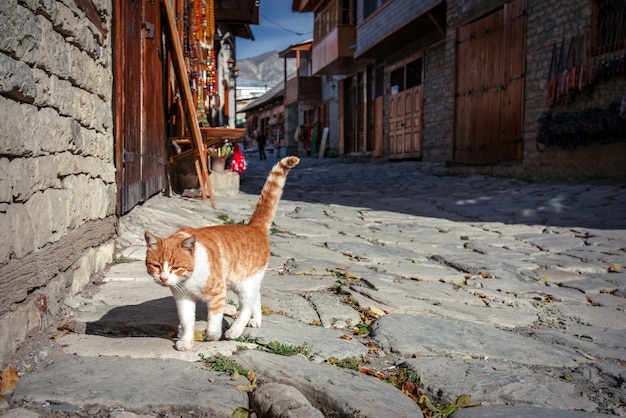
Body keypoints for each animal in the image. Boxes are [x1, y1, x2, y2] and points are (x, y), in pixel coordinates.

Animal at [143, 156, 298, 350]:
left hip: (245, 283)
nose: (163, 278)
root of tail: (254, 227)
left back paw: (235, 330)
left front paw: (214, 335)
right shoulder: (183, 298)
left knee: (246, 306)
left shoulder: (218, 294)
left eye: (175, 267)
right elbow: (187, 322)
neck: (190, 279)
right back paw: (256, 320)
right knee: (257, 296)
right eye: (156, 266)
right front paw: (186, 341)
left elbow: (213, 322)